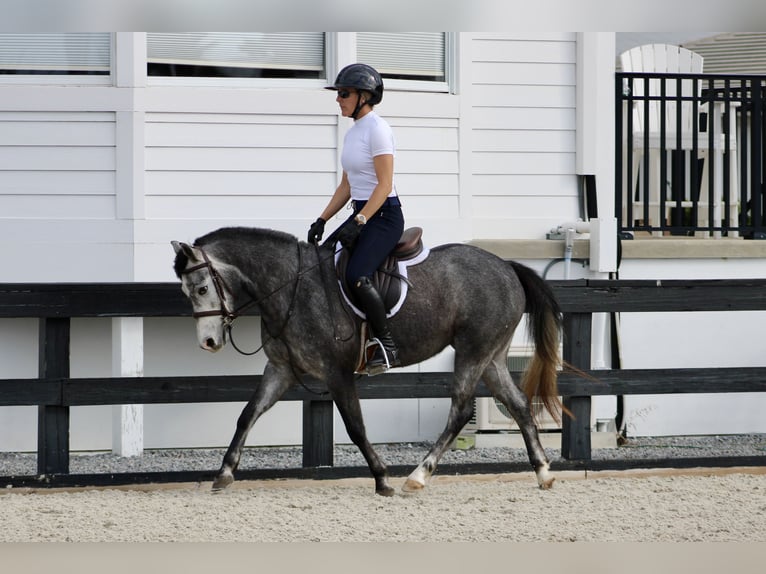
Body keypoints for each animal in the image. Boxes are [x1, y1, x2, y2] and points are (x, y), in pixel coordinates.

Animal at [172, 227, 564, 498]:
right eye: (186, 292)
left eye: (203, 288)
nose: (208, 343)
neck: (292, 287)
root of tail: (505, 266)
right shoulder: (281, 370)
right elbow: (247, 414)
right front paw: (223, 474)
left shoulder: (337, 373)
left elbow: (355, 427)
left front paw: (382, 478)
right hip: (492, 357)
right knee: (518, 404)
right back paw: (543, 473)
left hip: (473, 351)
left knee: (461, 410)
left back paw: (417, 477)